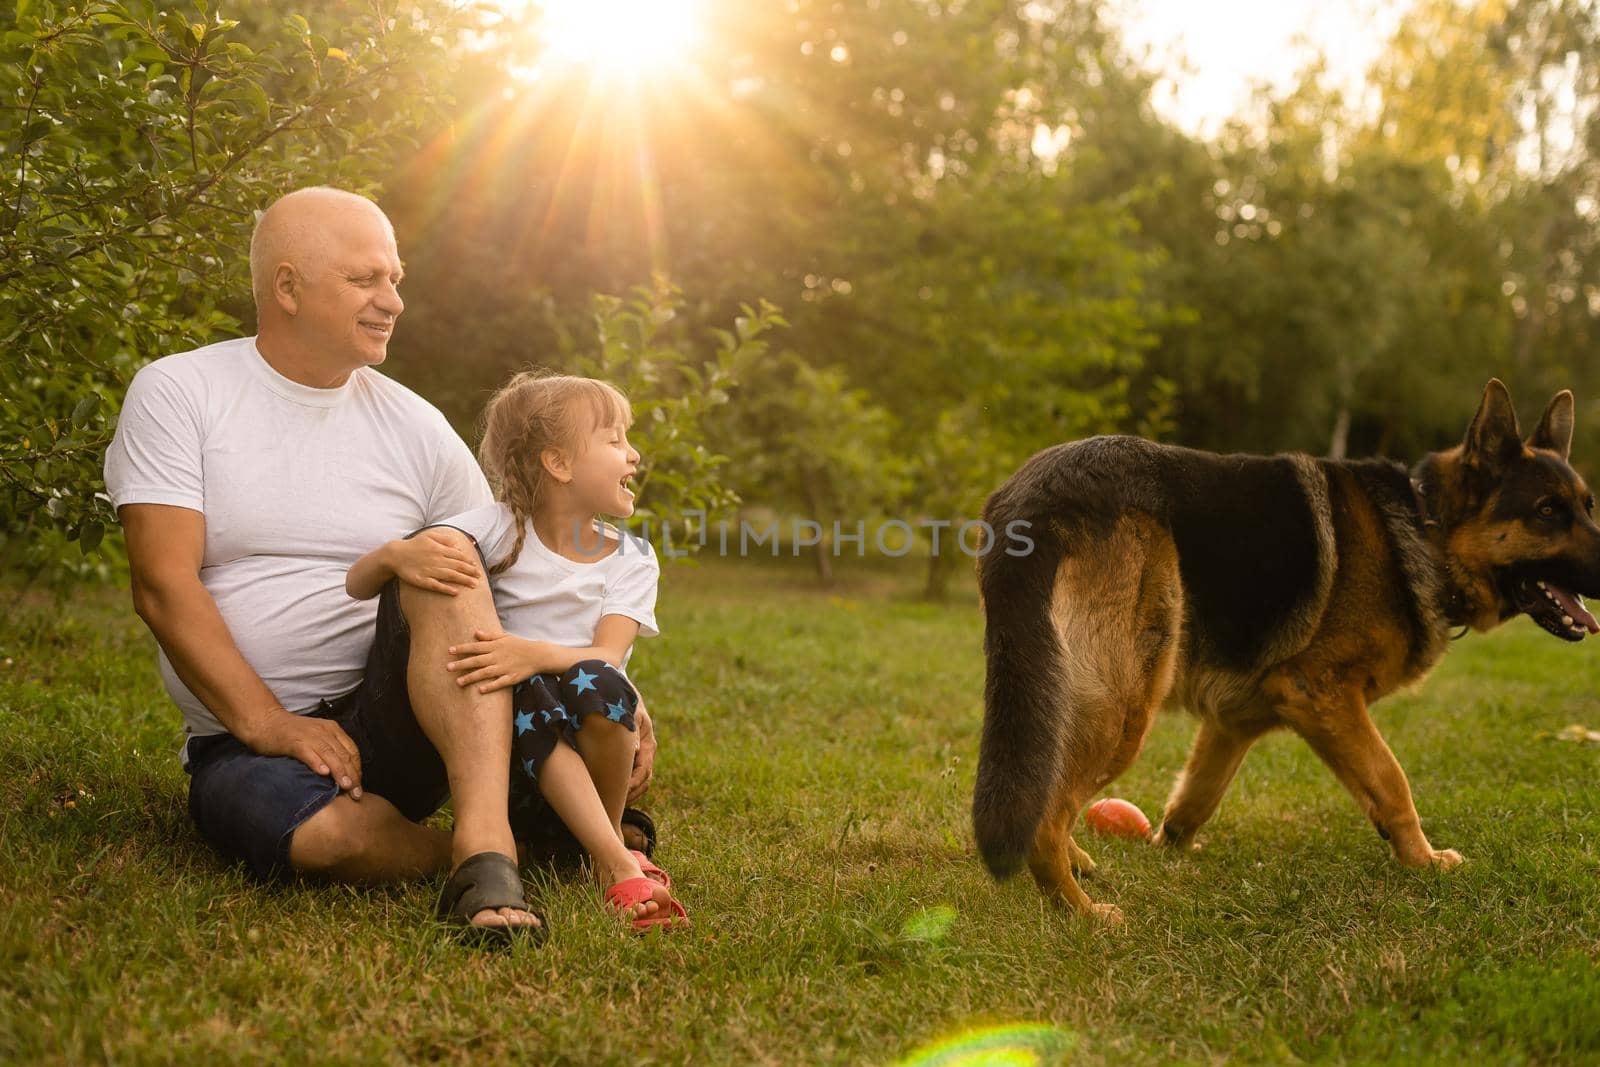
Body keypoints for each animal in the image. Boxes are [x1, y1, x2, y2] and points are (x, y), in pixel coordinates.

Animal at [972, 382, 1600, 921]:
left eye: (1587, 507)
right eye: (1548, 510)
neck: (1427, 527)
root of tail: (1031, 494)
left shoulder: (1236, 722)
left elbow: (1196, 797)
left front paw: (1168, 848)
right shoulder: (1322, 694)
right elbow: (1391, 780)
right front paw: (1424, 862)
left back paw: (1080, 869)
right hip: (1124, 703)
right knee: (1047, 816)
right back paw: (1079, 914)